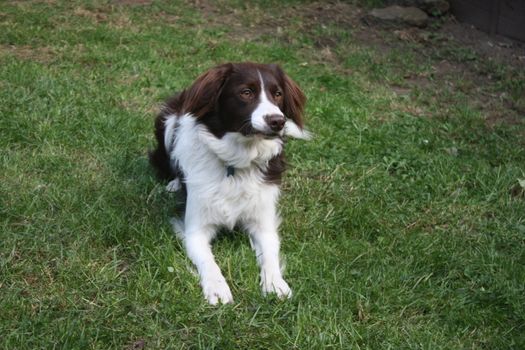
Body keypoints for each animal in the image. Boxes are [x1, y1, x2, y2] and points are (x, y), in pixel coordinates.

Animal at [149, 62, 310, 304]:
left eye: (278, 94)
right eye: (246, 92)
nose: (278, 121)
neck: (236, 164)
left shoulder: (264, 223)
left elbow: (270, 254)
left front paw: (275, 283)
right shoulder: (194, 230)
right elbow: (208, 261)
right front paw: (217, 288)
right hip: (167, 121)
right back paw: (174, 183)